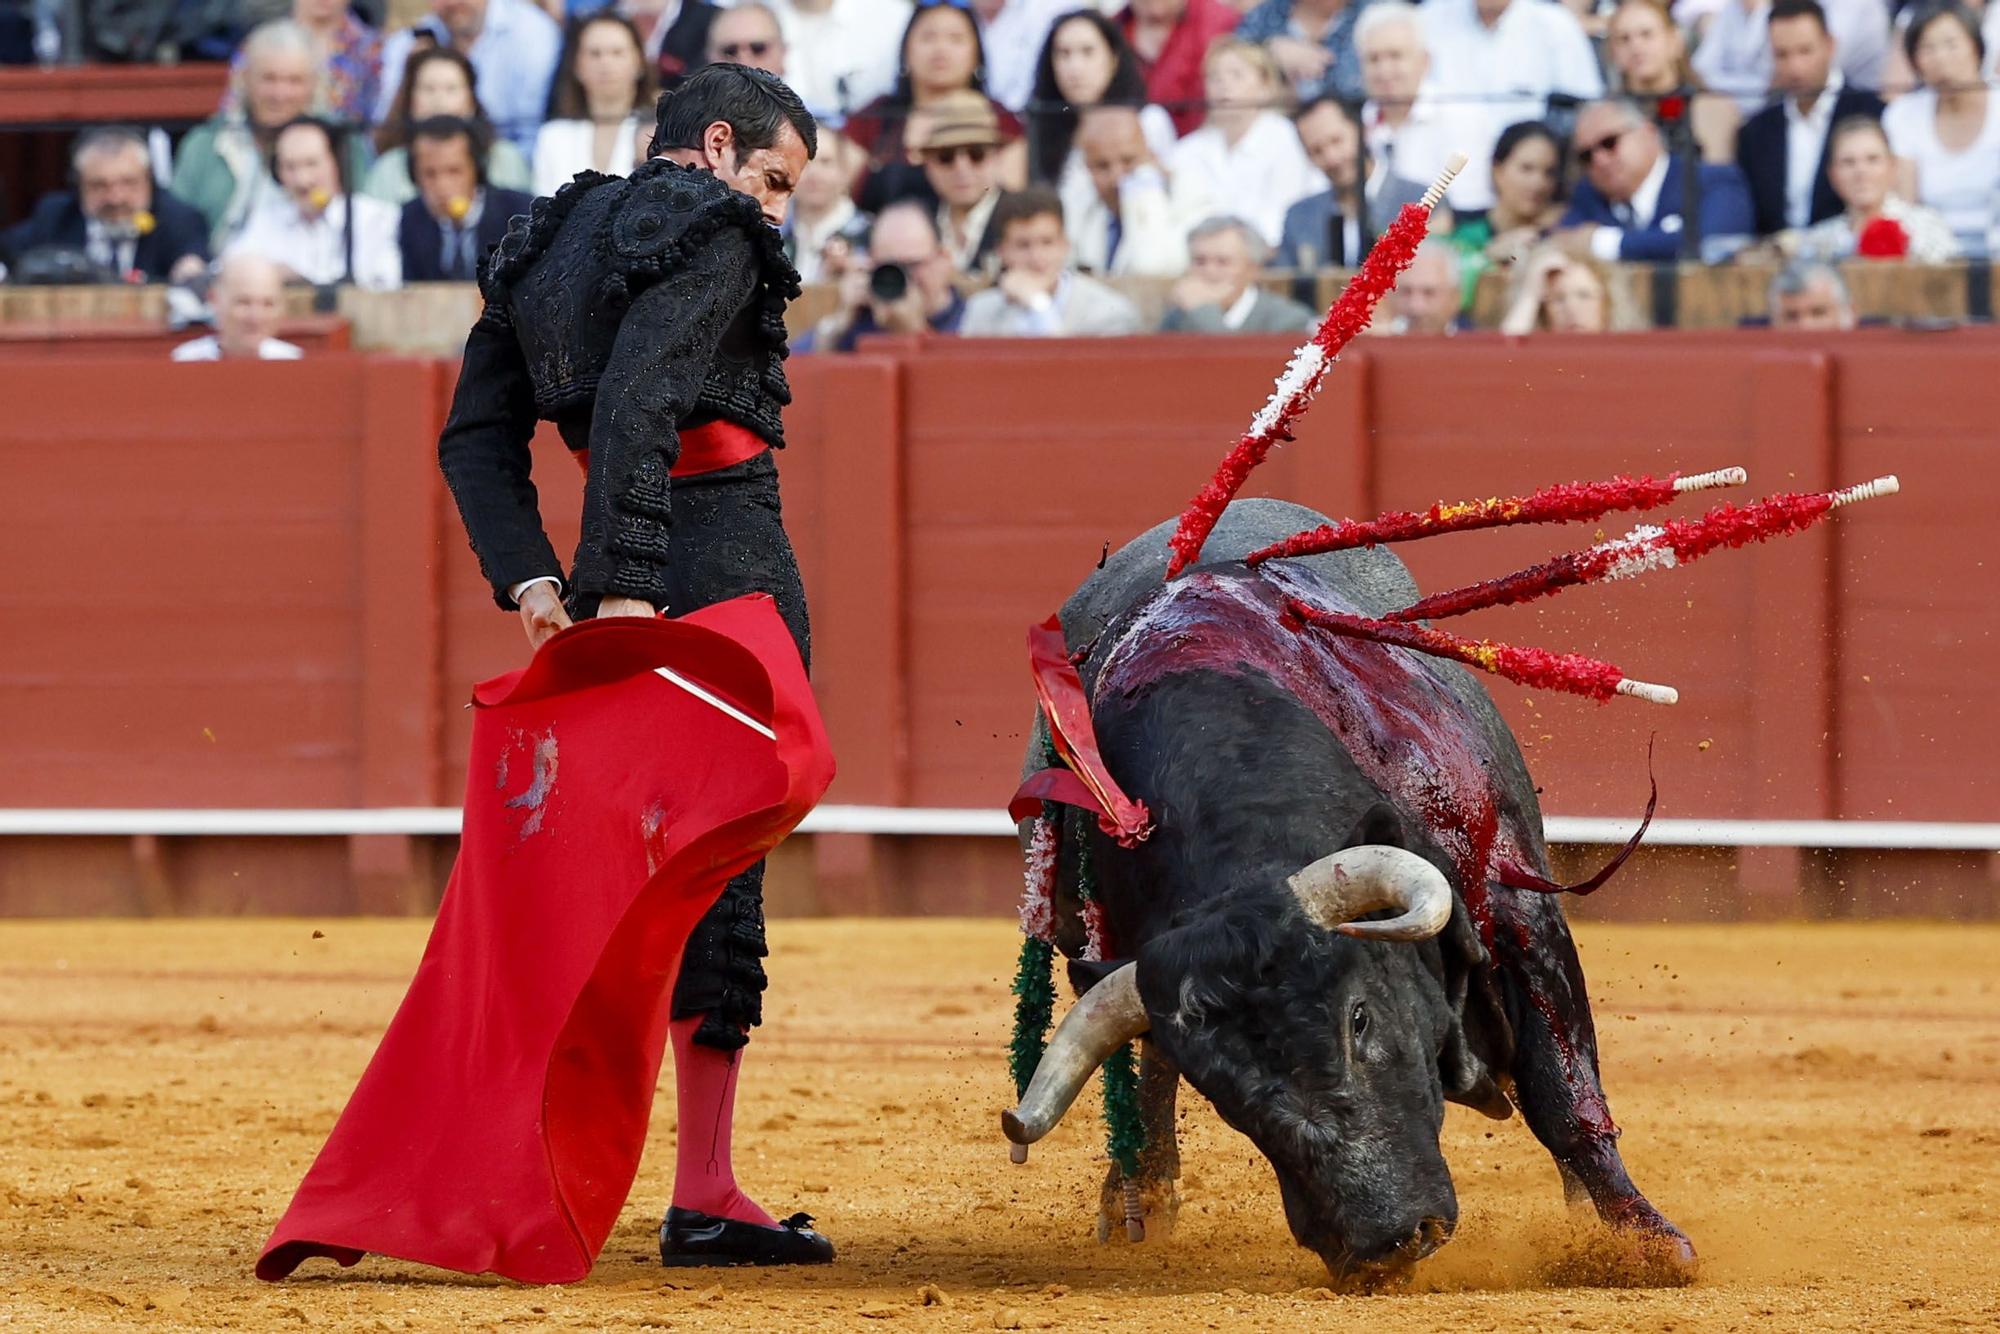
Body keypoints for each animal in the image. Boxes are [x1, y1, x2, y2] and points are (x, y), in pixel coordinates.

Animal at [1008, 498, 1696, 1280]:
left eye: (1359, 1017)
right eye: (1217, 1085)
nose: (1384, 1242)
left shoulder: (1517, 910)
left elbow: (1561, 1085)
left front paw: (1646, 1241)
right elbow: (1156, 1063)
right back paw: (1141, 1201)